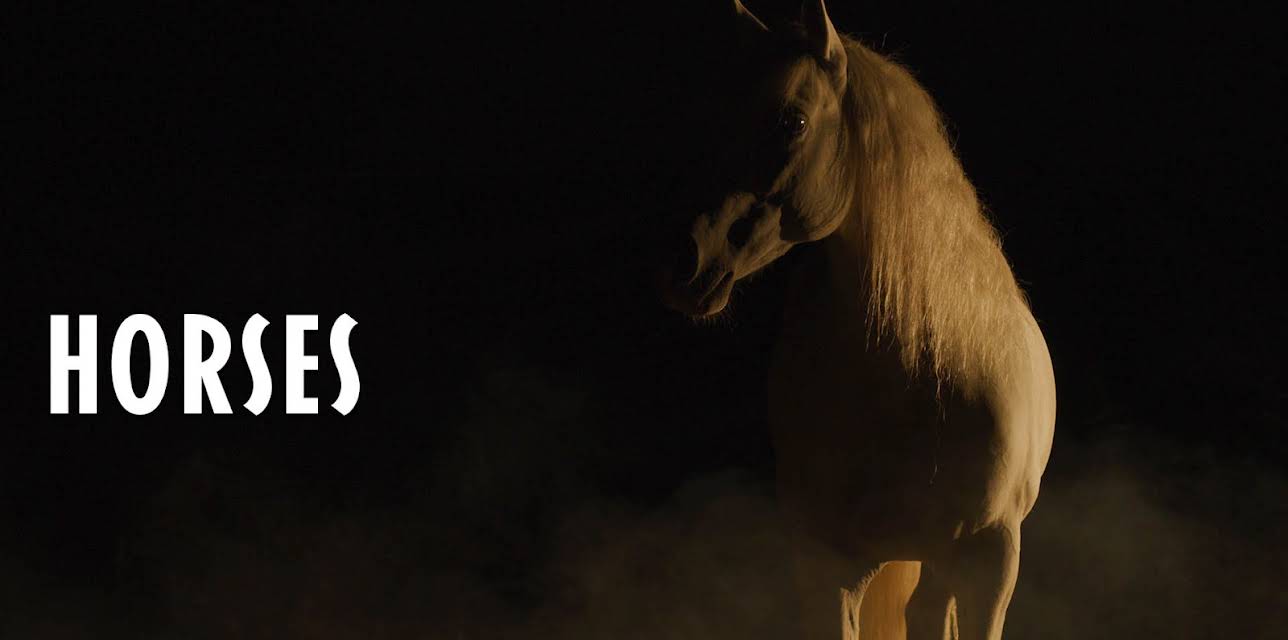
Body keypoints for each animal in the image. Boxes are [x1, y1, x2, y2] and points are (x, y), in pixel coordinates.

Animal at [655, 2, 1056, 639]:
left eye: (793, 120)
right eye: (720, 115)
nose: (683, 261)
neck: (924, 370)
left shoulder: (991, 562)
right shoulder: (830, 564)